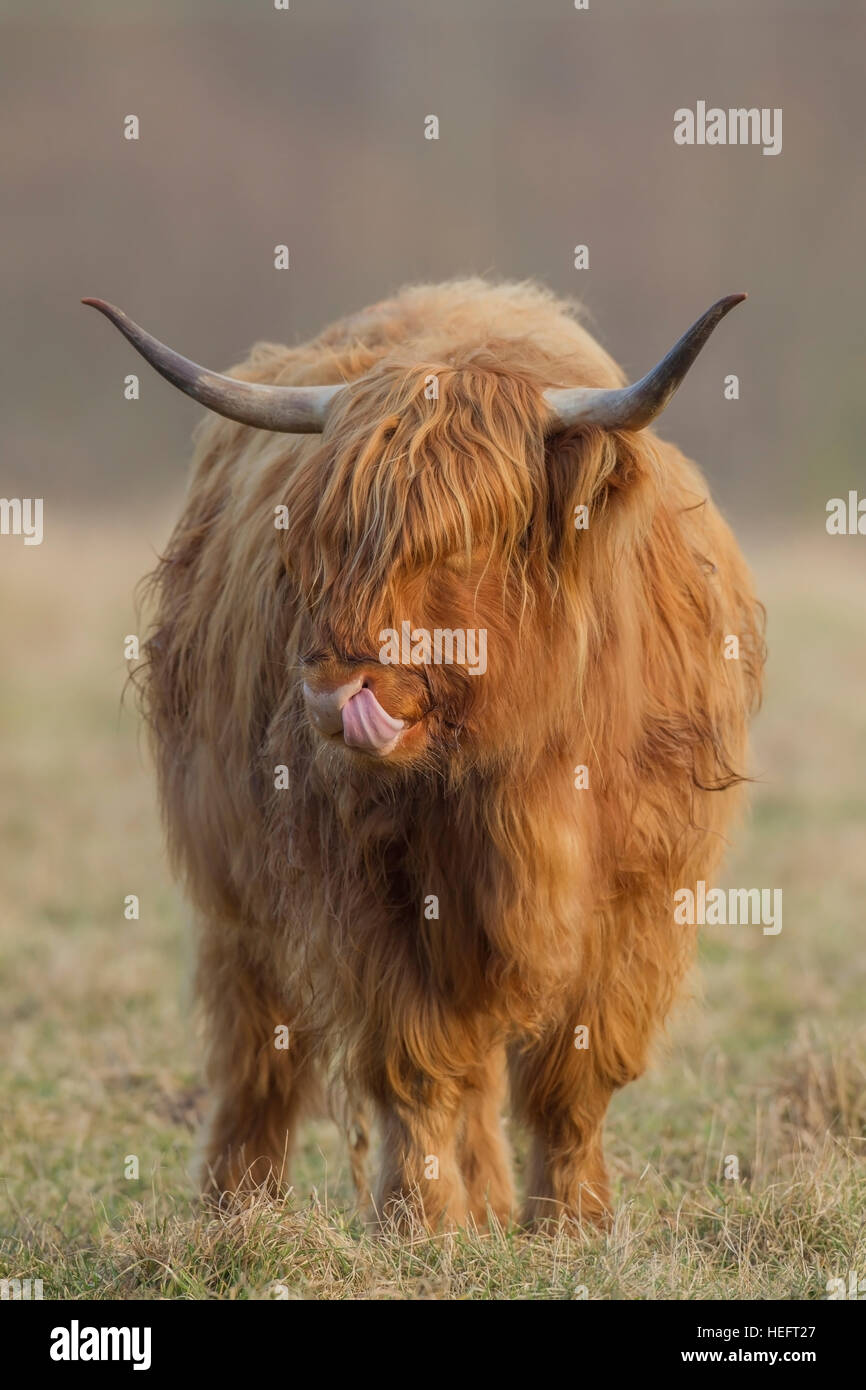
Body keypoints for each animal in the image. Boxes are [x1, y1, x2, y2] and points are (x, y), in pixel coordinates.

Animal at [85, 279, 764, 1229]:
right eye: (322, 543)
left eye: (461, 540)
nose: (333, 690)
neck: (522, 771)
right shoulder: (377, 895)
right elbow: (414, 1065)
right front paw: (421, 1224)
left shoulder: (641, 896)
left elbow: (575, 1077)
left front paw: (572, 1222)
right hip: (235, 882)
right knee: (258, 1050)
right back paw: (237, 1204)